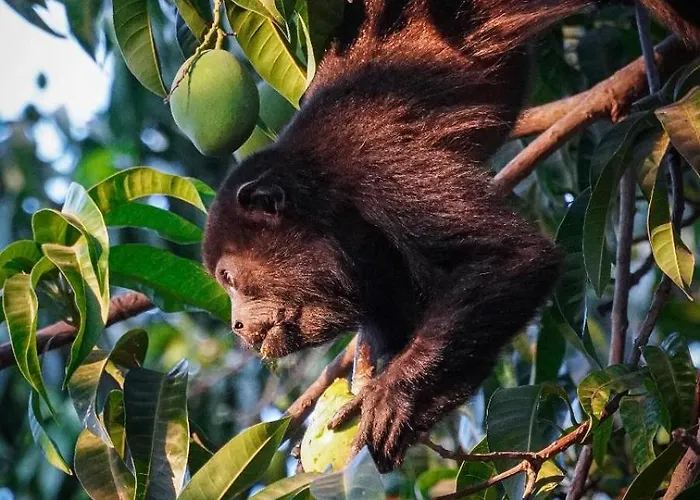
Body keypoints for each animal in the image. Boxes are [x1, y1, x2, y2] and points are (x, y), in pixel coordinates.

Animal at [203, 0, 700, 472]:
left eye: (229, 278)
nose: (236, 324)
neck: (323, 193)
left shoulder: (384, 169)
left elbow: (515, 258)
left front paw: (393, 393)